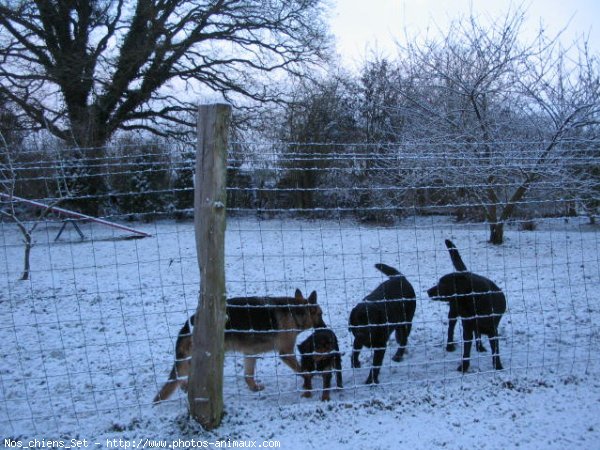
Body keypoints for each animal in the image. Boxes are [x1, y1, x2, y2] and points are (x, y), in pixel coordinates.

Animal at [426, 239, 506, 372]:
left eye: (442, 283)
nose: (428, 291)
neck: (473, 300)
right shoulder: (467, 329)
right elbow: (466, 351)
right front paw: (464, 366)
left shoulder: (492, 330)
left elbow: (495, 351)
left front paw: (498, 366)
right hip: (453, 312)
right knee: (451, 329)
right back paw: (449, 346)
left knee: (477, 333)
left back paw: (479, 347)